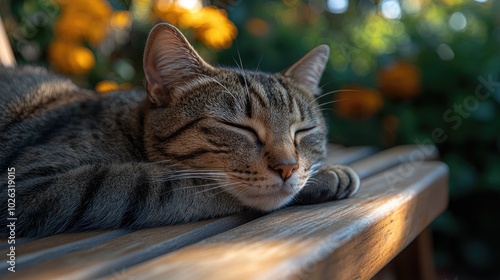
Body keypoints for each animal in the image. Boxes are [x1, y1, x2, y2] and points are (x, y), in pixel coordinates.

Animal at [0, 23, 360, 237]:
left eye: (303, 130)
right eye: (237, 127)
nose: (287, 167)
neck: (128, 126)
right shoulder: (27, 184)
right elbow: (169, 184)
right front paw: (325, 175)